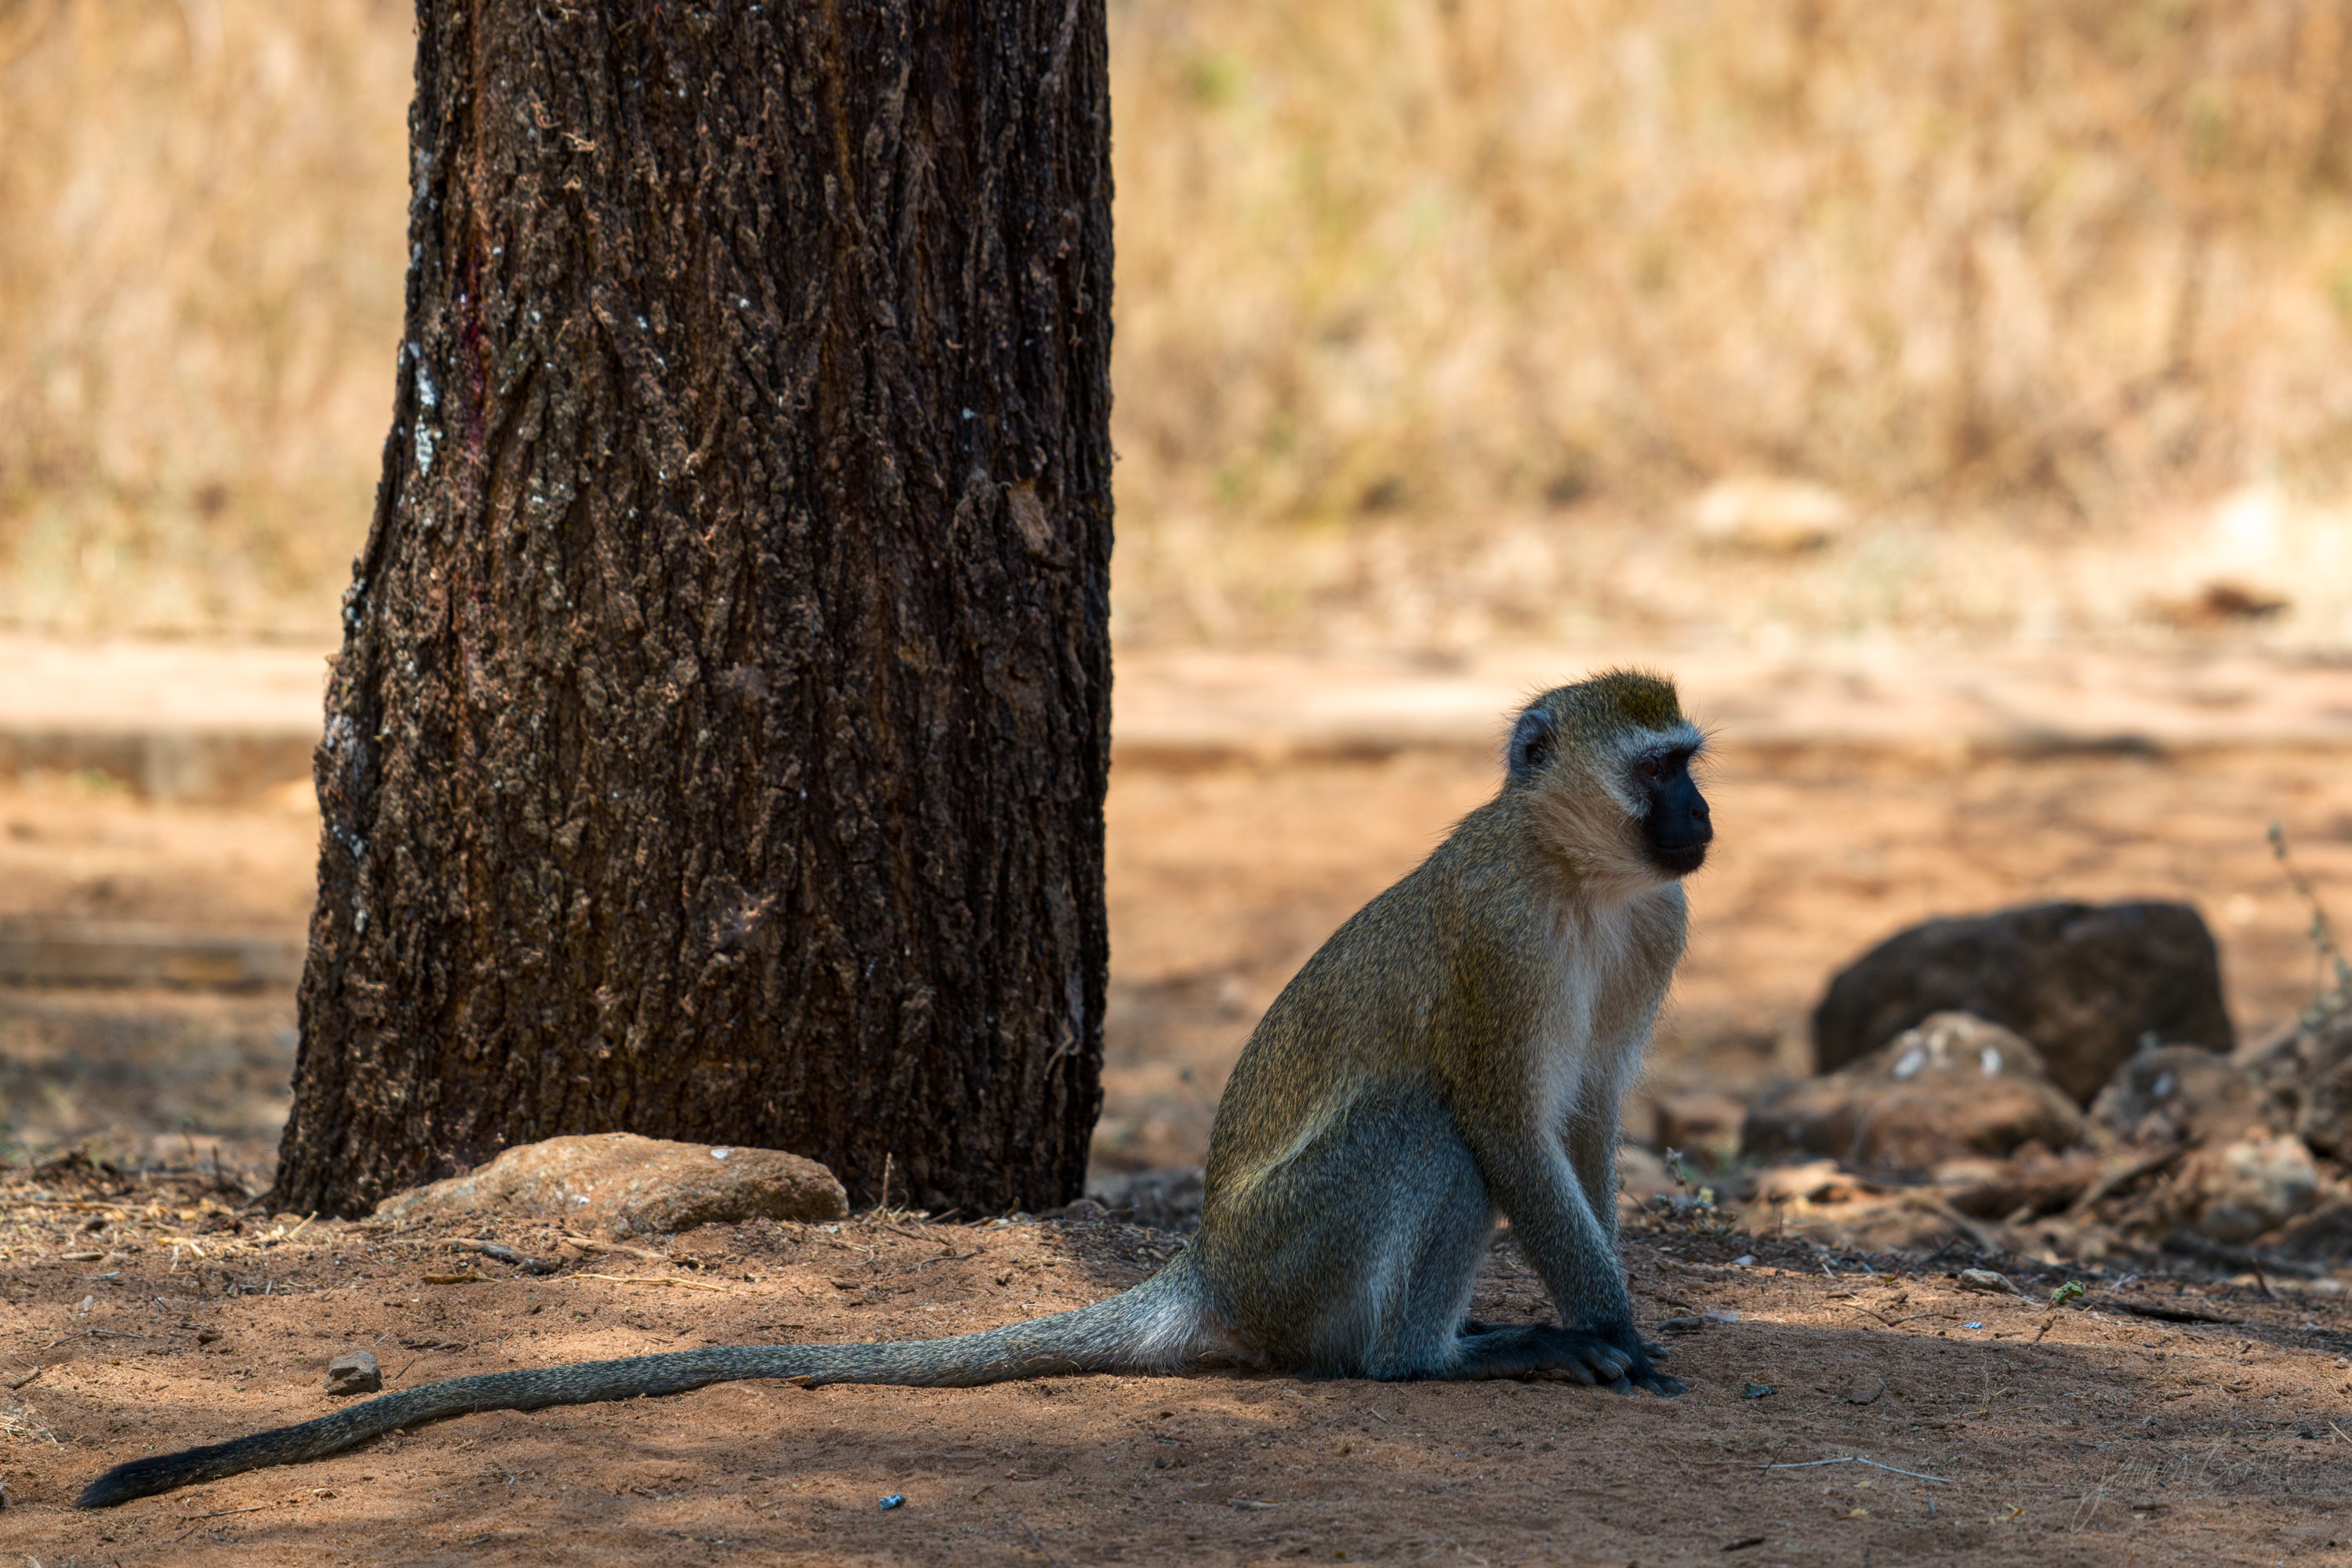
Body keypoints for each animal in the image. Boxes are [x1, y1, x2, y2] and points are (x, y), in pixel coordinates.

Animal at [78, 670, 1710, 1509]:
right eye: (1663, 766)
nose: (1704, 816)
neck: (1581, 877)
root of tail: (1205, 1270)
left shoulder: (1657, 933)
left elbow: (1580, 1127)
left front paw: (1613, 1314)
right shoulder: (1505, 936)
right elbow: (1503, 1120)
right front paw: (1611, 1333)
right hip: (1296, 1250)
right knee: (1428, 1132)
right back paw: (1417, 1363)